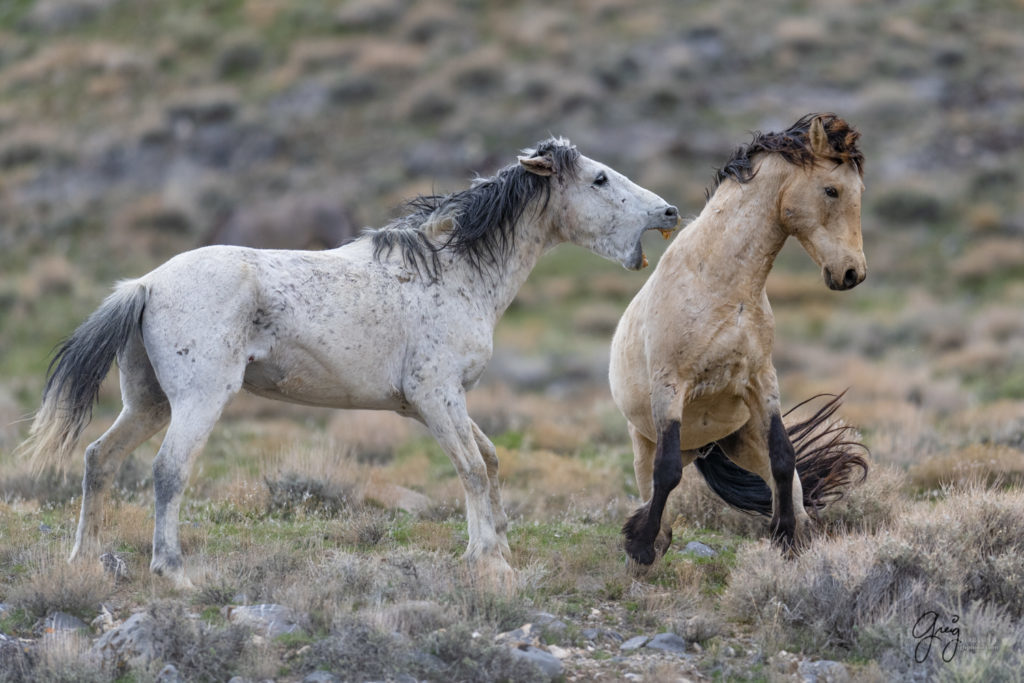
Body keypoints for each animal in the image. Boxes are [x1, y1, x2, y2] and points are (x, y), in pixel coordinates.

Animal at [19, 139, 675, 589]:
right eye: (599, 177)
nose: (669, 212)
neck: (455, 270)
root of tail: (146, 284)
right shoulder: (436, 396)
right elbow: (469, 467)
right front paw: (488, 562)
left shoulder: (439, 403)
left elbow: (488, 461)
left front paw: (496, 550)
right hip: (198, 402)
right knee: (167, 471)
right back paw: (172, 572)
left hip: (149, 403)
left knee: (99, 459)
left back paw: (84, 559)